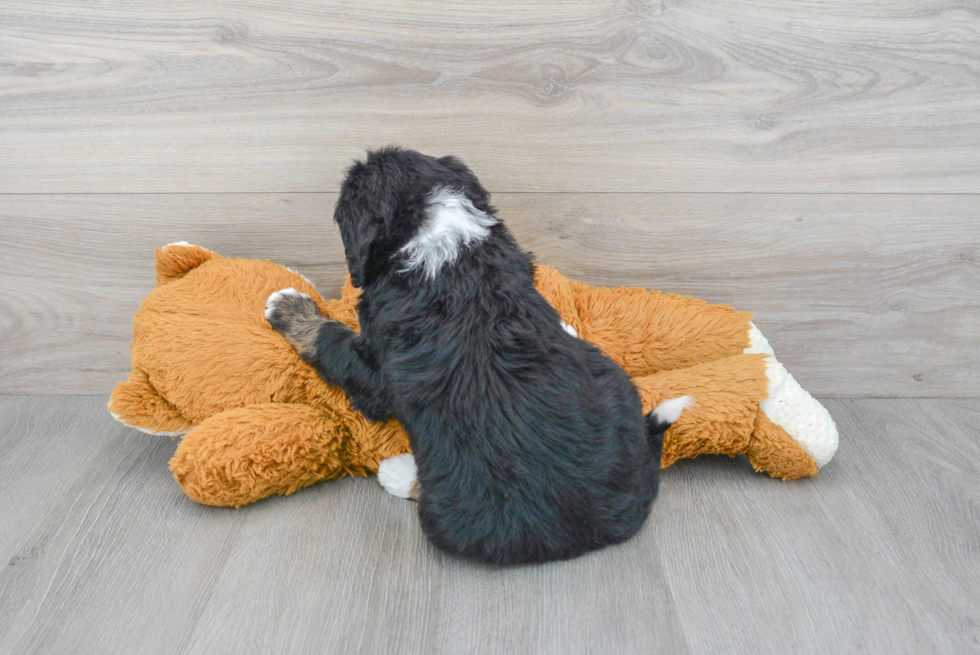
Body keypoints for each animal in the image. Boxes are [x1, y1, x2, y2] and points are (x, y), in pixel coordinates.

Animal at [262, 147, 688, 564]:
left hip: (452, 511)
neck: (440, 240)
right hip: (617, 384)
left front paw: (289, 307)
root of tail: (594, 528)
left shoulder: (378, 372)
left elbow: (332, 341)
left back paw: (397, 473)